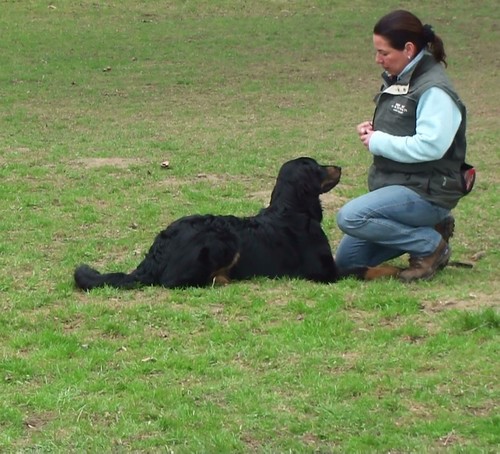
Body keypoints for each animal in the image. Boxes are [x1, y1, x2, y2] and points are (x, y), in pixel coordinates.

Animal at [74, 157, 400, 290]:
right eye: (318, 166)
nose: (339, 167)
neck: (291, 210)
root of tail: (158, 248)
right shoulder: (322, 272)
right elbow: (365, 269)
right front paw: (395, 271)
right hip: (223, 240)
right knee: (176, 282)